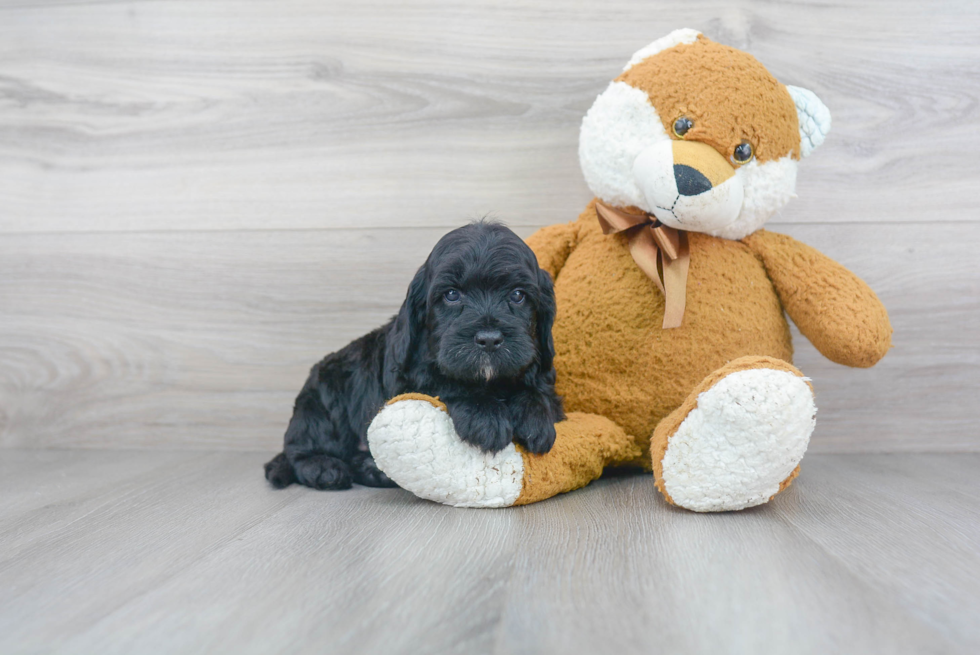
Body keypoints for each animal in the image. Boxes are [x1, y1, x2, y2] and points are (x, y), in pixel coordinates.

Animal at [264, 223, 564, 490]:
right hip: (321, 404)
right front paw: (485, 415)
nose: (489, 339)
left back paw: (372, 469)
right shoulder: (407, 376)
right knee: (299, 449)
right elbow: (445, 383)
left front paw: (535, 418)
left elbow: (538, 391)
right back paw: (324, 468)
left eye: (518, 295)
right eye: (452, 294)